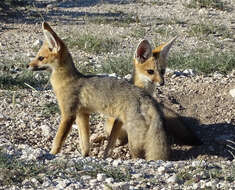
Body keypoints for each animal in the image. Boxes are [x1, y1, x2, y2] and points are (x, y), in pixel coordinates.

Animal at [27, 22, 170, 162]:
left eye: (40, 58)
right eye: (37, 57)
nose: (27, 65)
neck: (68, 80)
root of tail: (146, 97)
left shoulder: (68, 114)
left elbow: (58, 141)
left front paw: (52, 154)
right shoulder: (82, 114)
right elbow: (84, 143)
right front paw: (84, 156)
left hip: (133, 140)